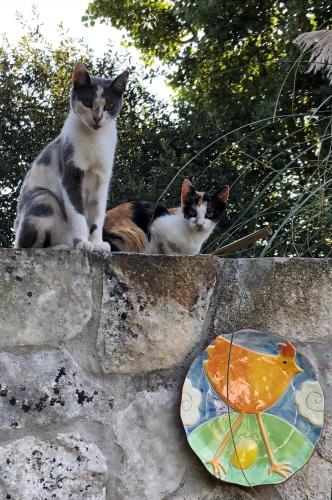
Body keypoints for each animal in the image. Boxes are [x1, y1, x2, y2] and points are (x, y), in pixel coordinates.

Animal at [14, 61, 128, 250]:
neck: (95, 139)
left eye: (109, 106)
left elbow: (98, 215)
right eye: (87, 102)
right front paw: (82, 242)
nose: (97, 118)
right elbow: (77, 213)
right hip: (43, 199)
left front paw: (97, 244)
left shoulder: (102, 179)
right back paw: (62, 247)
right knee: (28, 245)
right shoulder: (71, 173)